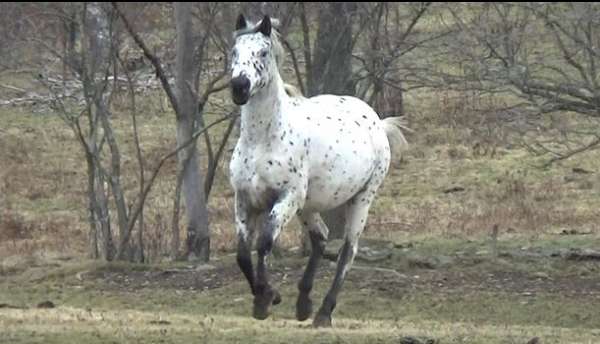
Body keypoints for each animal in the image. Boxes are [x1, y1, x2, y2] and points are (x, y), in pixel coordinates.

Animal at [227, 14, 406, 328]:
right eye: (234, 52)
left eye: (262, 52)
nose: (239, 86)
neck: (263, 140)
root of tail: (377, 121)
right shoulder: (245, 200)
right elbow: (242, 255)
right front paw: (267, 297)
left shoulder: (286, 198)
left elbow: (264, 243)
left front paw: (266, 298)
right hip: (308, 205)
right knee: (321, 237)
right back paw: (303, 304)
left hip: (360, 199)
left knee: (348, 251)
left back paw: (323, 312)